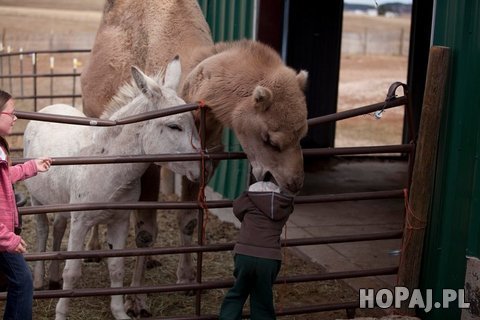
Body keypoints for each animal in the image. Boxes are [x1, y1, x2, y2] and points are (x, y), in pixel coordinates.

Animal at [23, 58, 201, 320]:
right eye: (174, 126)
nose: (201, 168)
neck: (108, 165)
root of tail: (51, 106)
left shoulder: (119, 220)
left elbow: (116, 268)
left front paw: (119, 312)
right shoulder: (81, 222)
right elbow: (72, 272)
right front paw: (61, 314)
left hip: (60, 201)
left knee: (57, 228)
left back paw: (53, 279)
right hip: (37, 200)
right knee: (43, 230)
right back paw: (38, 280)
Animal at [79, 0, 308, 318]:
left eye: (303, 133)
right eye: (270, 139)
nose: (294, 182)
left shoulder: (206, 158)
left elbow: (187, 220)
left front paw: (187, 280)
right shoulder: (149, 162)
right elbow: (146, 231)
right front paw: (137, 300)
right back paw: (94, 249)